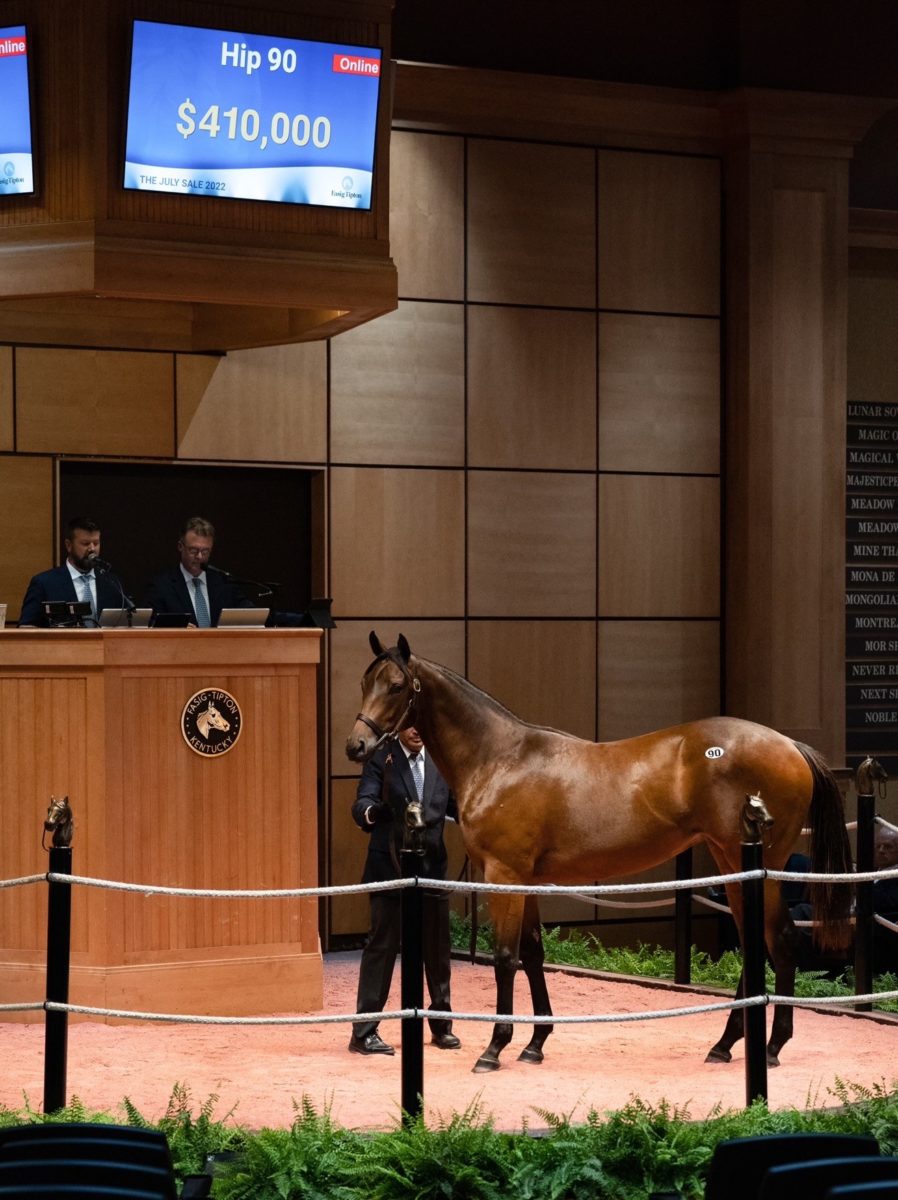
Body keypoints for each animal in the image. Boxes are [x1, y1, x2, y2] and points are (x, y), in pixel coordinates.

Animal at [345, 633, 854, 1075]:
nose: (357, 745)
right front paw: (535, 1043)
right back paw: (726, 1044)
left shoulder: (505, 875)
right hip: (733, 866)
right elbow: (534, 953)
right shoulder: (528, 881)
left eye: (396, 686)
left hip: (759, 867)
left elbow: (506, 957)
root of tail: (790, 745)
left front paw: (495, 1047)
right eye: (365, 683)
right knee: (753, 945)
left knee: (780, 941)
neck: (500, 758)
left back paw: (771, 1047)